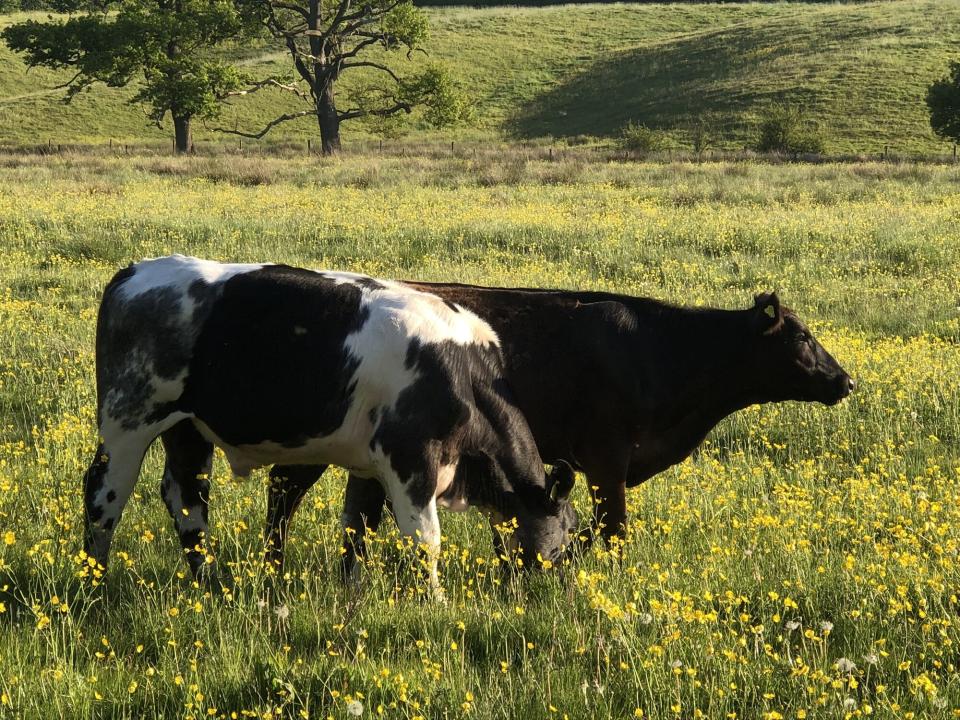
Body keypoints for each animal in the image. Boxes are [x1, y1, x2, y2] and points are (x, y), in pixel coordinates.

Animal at [80, 256, 576, 592]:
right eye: (567, 535)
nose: (557, 586)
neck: (463, 373)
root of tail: (135, 272)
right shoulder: (410, 461)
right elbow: (425, 540)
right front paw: (434, 601)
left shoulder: (369, 466)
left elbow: (357, 529)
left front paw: (352, 590)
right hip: (129, 421)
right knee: (105, 494)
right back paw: (95, 581)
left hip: (187, 429)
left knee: (188, 502)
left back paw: (214, 584)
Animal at [258, 286, 852, 572]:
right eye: (801, 337)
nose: (845, 381)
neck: (660, 352)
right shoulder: (607, 459)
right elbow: (613, 530)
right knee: (283, 499)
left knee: (356, 516)